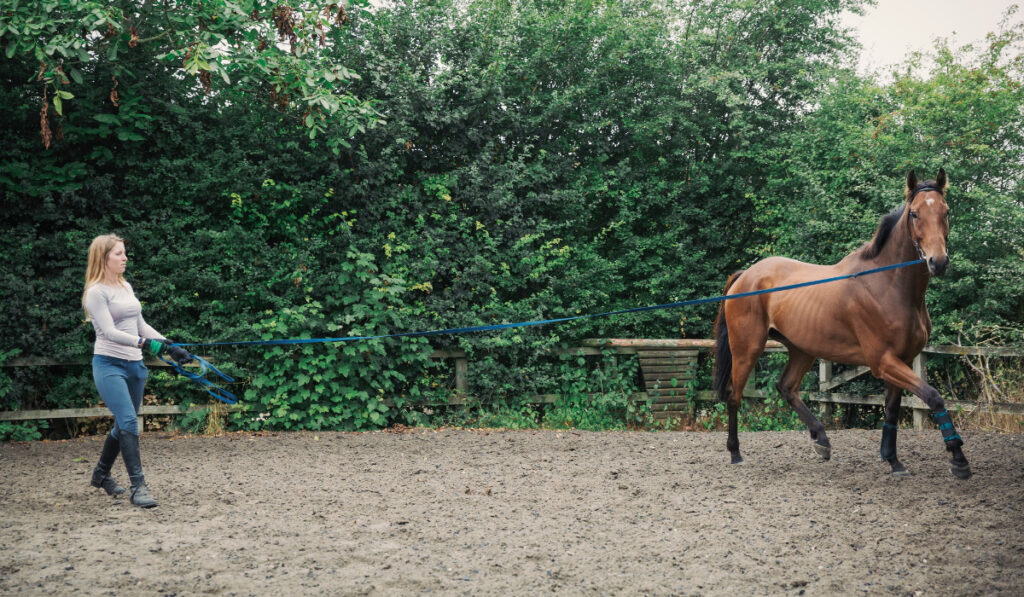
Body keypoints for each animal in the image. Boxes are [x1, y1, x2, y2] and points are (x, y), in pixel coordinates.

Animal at [712, 167, 966, 481]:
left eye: (946, 211)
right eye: (915, 213)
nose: (938, 262)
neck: (887, 285)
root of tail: (746, 275)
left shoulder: (902, 359)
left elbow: (892, 410)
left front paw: (893, 460)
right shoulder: (884, 362)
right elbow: (934, 397)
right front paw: (958, 458)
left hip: (802, 349)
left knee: (786, 388)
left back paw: (821, 439)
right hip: (747, 349)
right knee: (734, 395)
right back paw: (735, 453)